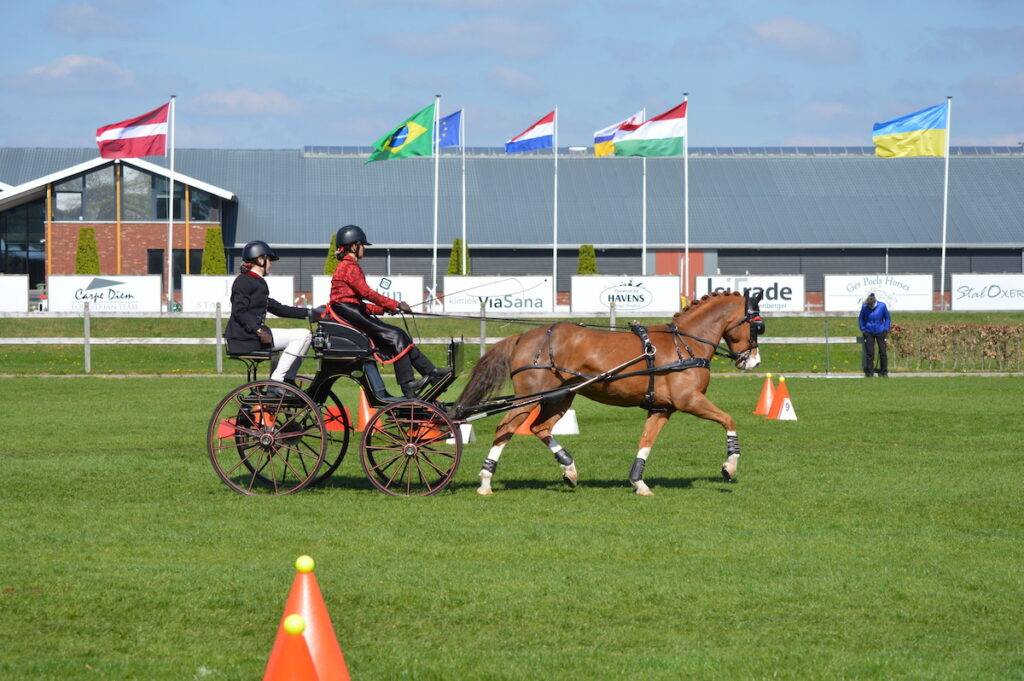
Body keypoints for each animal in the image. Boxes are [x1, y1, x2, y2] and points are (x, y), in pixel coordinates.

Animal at [456, 290, 765, 495]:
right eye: (757, 326)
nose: (754, 362)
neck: (685, 344)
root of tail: (523, 337)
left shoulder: (662, 408)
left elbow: (647, 440)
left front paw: (638, 482)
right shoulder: (690, 400)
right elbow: (729, 420)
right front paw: (729, 466)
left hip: (560, 396)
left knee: (539, 427)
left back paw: (569, 470)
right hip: (530, 396)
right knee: (505, 429)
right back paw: (485, 481)